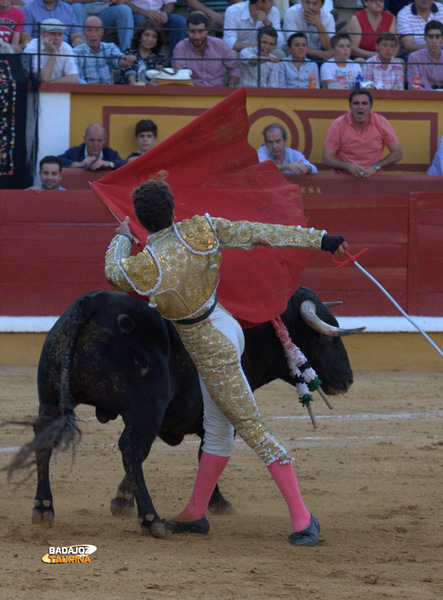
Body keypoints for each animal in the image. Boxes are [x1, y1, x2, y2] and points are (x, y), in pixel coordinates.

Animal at [6, 288, 360, 540]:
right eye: (322, 337)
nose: (348, 380)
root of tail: (91, 304)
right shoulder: (218, 414)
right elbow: (207, 453)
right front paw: (218, 504)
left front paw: (121, 500)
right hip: (146, 407)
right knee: (130, 447)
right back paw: (151, 520)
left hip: (51, 398)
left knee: (45, 439)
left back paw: (44, 507)